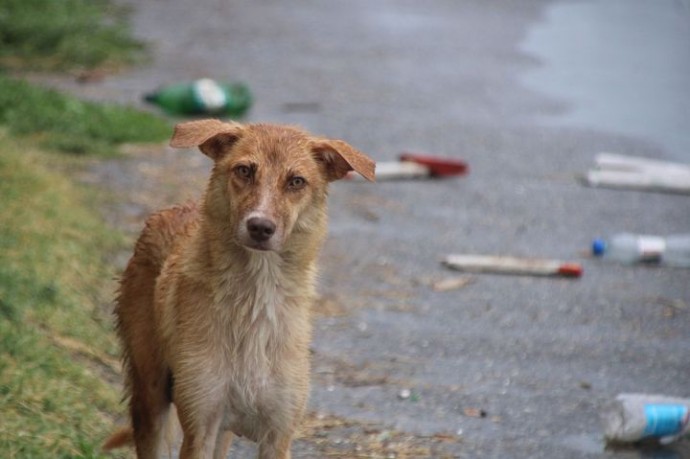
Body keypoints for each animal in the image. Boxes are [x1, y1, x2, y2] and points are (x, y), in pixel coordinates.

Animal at [103, 120, 374, 458]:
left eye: (296, 181)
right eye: (244, 170)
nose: (260, 227)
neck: (254, 297)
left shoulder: (277, 435)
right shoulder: (200, 425)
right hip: (150, 398)